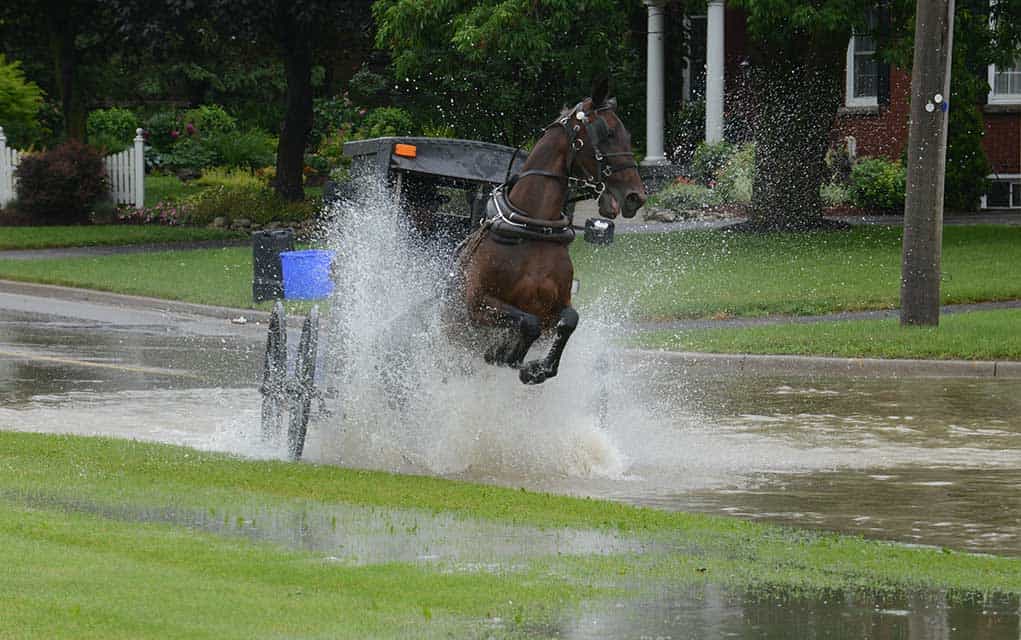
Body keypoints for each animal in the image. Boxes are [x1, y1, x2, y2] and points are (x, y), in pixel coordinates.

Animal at [445, 76, 645, 385]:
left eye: (628, 135)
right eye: (608, 133)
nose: (636, 196)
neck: (531, 227)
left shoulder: (555, 308)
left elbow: (569, 320)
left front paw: (536, 368)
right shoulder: (476, 305)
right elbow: (529, 323)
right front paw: (504, 354)